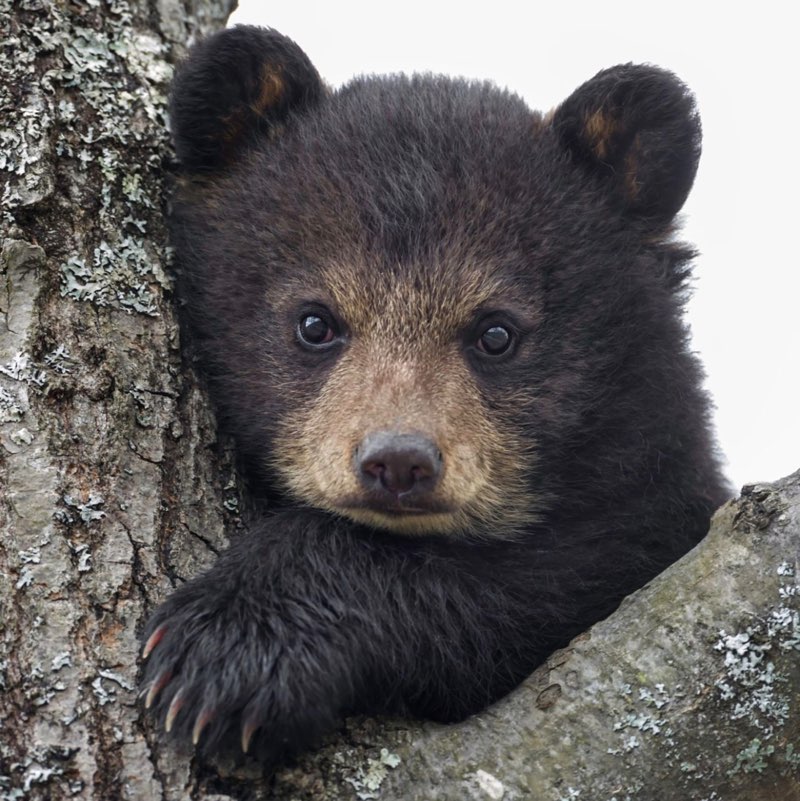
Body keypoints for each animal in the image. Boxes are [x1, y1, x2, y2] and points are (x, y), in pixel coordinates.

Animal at [141, 24, 731, 761]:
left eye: (496, 332)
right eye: (315, 321)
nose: (398, 461)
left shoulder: (656, 507)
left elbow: (549, 579)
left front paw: (226, 649)